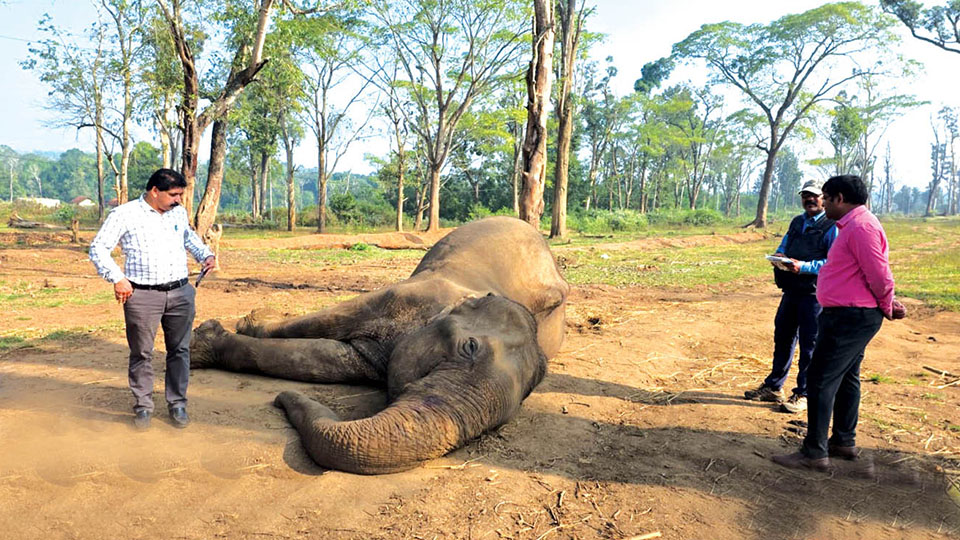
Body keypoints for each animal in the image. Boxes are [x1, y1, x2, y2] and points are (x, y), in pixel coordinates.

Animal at [190, 216, 569, 474]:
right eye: (470, 347)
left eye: (504, 420)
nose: (282, 400)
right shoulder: (411, 293)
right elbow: (330, 320)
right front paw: (233, 328)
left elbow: (324, 361)